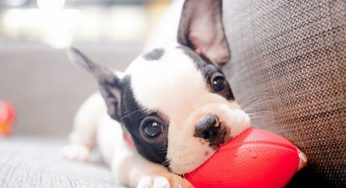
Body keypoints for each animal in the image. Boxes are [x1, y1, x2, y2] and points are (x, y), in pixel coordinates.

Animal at [62, 0, 306, 188]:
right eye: (152, 128)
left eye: (219, 82)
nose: (207, 125)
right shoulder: (125, 156)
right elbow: (138, 164)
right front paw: (160, 177)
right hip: (87, 118)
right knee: (80, 136)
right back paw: (79, 151)